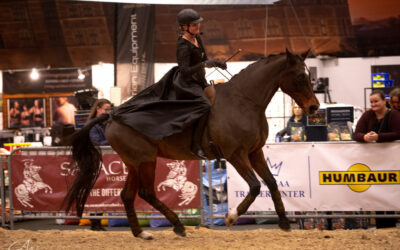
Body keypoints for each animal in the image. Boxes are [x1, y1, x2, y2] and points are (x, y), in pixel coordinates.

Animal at [65, 49, 318, 240]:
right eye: (300, 77)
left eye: (309, 75)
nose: (314, 107)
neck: (244, 101)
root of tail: (111, 116)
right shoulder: (236, 155)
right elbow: (255, 186)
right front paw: (231, 216)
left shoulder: (255, 153)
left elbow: (272, 183)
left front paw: (284, 222)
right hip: (145, 161)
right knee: (146, 193)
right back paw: (177, 225)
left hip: (135, 164)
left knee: (128, 195)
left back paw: (142, 233)